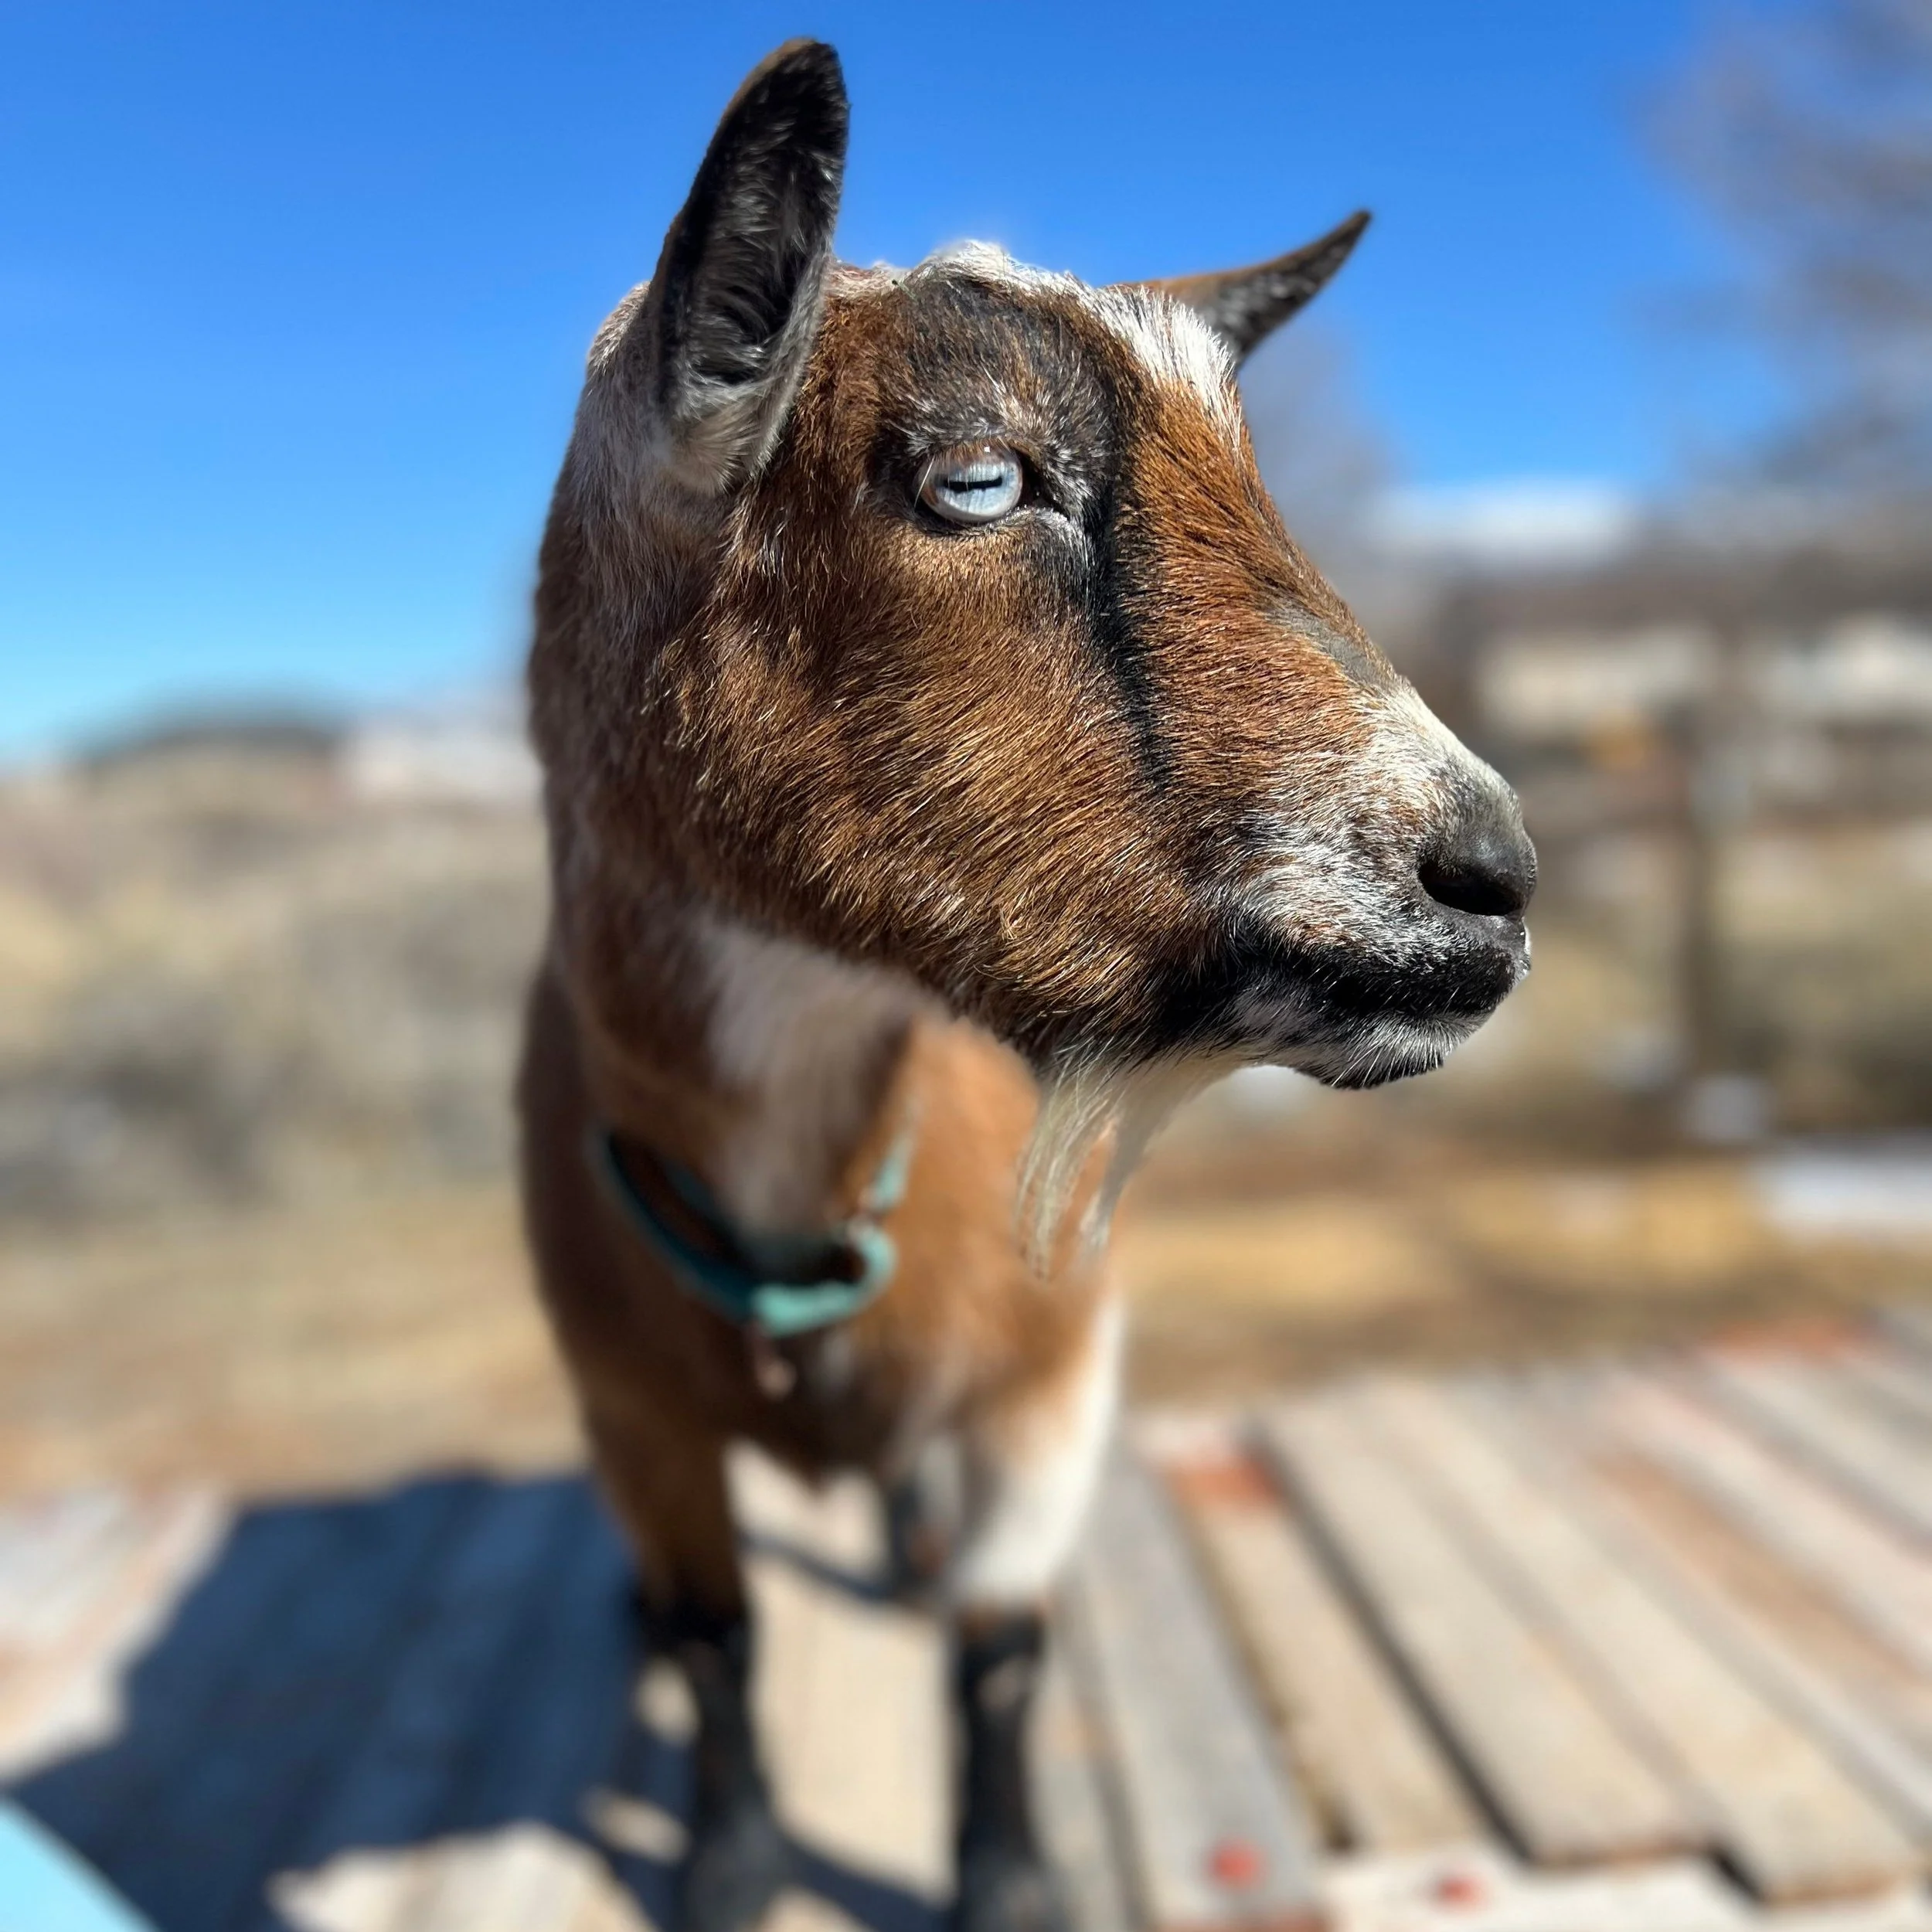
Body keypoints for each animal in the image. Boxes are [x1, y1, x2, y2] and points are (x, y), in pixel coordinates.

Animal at [518, 40, 1534, 1932]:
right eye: (977, 478)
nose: (1492, 880)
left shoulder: (1049, 1384)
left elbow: (996, 1646)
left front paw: (1002, 1883)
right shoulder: (632, 1415)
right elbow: (712, 1640)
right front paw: (731, 1865)